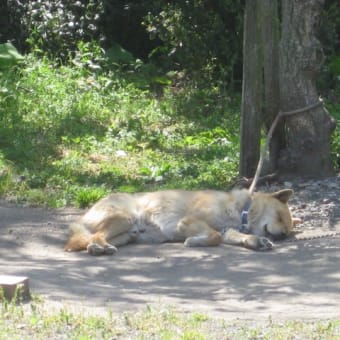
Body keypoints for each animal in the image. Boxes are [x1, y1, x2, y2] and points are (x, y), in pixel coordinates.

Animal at [64, 189, 300, 255]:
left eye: (288, 230)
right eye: (279, 217)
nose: (282, 236)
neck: (241, 210)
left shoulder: (228, 230)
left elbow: (236, 236)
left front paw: (256, 241)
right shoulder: (189, 221)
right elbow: (213, 236)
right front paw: (194, 242)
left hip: (127, 235)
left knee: (88, 240)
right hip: (124, 219)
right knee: (93, 237)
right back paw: (98, 248)